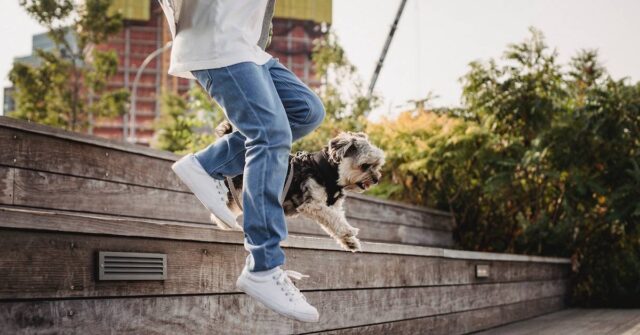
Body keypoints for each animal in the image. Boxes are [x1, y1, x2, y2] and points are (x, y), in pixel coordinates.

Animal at [214, 121, 384, 252]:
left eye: (377, 165)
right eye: (365, 165)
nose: (376, 179)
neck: (326, 171)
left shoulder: (332, 206)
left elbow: (335, 220)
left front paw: (349, 241)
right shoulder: (312, 204)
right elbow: (333, 218)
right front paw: (349, 231)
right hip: (235, 190)